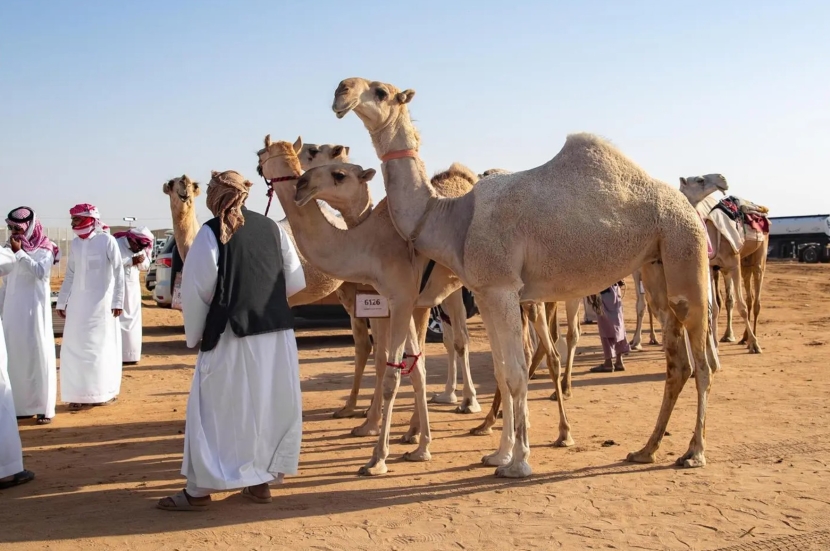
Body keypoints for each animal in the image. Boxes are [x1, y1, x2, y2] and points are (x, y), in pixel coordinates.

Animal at [258, 138, 488, 474]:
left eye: (337, 173)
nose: (300, 184)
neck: (368, 242)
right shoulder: (395, 302)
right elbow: (413, 367)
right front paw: (419, 444)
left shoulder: (402, 300)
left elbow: (395, 372)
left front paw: (378, 457)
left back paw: (479, 415)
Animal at [334, 77, 720, 478]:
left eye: (379, 91)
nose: (341, 90)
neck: (453, 217)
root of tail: (689, 208)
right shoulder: (487, 292)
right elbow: (503, 372)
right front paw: (499, 454)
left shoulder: (503, 288)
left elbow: (516, 374)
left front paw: (518, 462)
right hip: (657, 265)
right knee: (678, 363)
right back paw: (647, 449)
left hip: (685, 248)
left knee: (703, 364)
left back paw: (694, 452)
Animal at [680, 176, 772, 354]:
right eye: (699, 180)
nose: (722, 178)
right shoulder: (711, 268)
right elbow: (716, 307)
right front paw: (715, 345)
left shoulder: (734, 265)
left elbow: (741, 307)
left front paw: (755, 344)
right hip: (744, 263)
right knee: (749, 298)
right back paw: (744, 339)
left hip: (759, 257)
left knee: (756, 300)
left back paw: (752, 340)